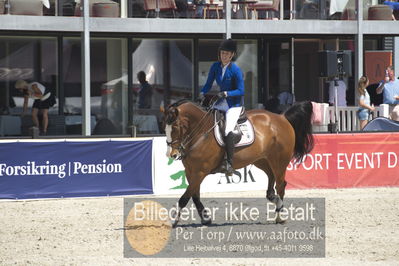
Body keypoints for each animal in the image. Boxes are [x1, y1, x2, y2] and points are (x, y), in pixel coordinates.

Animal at [164, 100, 314, 227]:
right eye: (164, 128)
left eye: (175, 127)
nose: (172, 154)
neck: (201, 132)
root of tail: (282, 118)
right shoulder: (191, 172)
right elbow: (194, 196)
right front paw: (206, 218)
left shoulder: (200, 172)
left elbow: (184, 198)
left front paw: (174, 220)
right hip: (262, 160)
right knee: (271, 182)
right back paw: (274, 201)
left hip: (279, 161)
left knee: (281, 185)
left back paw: (280, 216)